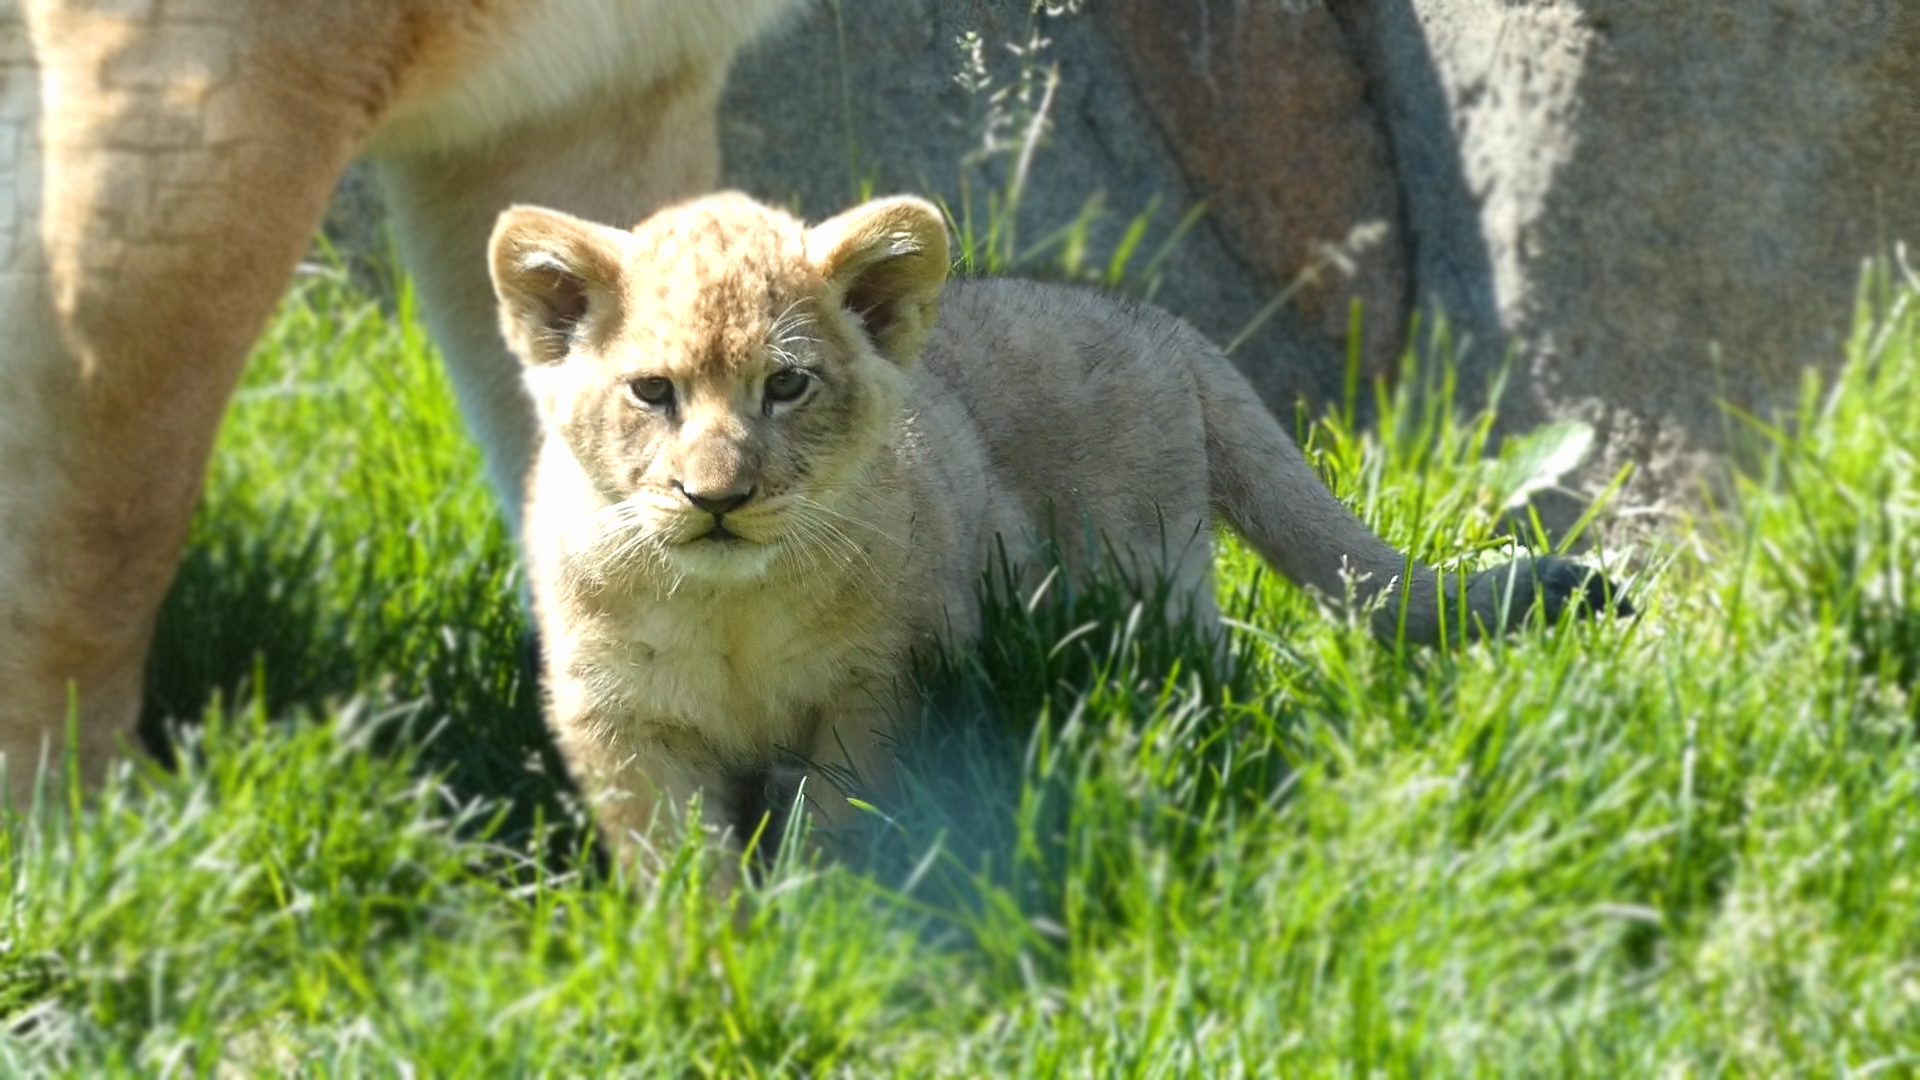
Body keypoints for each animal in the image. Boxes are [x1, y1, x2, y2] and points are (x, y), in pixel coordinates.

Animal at [487, 192, 1627, 881]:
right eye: (654, 392)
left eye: (787, 386)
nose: (717, 496)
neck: (733, 607)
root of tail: (1166, 329)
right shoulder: (621, 719)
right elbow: (679, 858)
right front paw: (720, 953)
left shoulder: (875, 683)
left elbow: (838, 813)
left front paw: (824, 915)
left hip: (1145, 584)